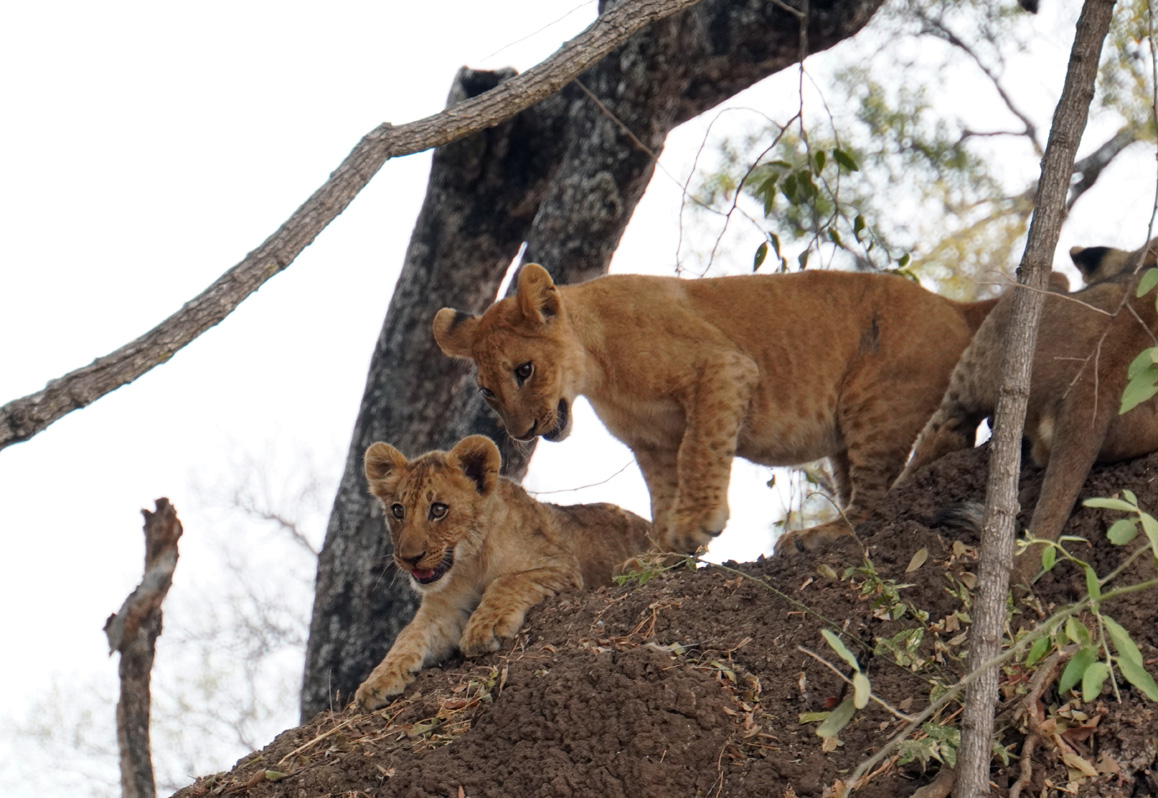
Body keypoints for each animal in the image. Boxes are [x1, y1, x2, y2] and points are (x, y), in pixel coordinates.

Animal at [353, 434, 651, 711]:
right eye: (397, 510)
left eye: (438, 509)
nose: (409, 559)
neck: (469, 562)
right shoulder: (441, 611)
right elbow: (408, 635)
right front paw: (376, 681)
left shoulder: (562, 565)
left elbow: (505, 581)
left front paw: (483, 629)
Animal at [433, 263, 998, 556]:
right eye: (487, 391)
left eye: (524, 370)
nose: (524, 432)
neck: (597, 371)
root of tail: (955, 306)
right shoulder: (652, 441)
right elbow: (663, 490)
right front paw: (663, 549)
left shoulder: (724, 368)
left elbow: (702, 450)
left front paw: (697, 524)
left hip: (873, 401)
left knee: (877, 503)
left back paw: (817, 537)